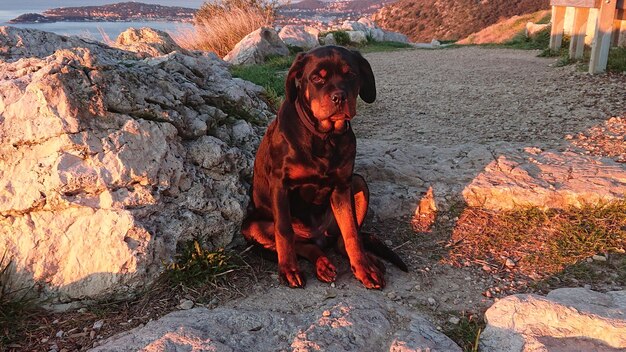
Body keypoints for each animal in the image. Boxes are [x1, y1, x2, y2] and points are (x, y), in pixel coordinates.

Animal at [241, 46, 408, 288]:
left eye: (351, 74)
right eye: (316, 78)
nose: (339, 97)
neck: (324, 137)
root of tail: (319, 236)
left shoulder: (342, 186)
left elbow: (351, 233)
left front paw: (364, 269)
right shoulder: (280, 184)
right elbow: (284, 231)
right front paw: (288, 270)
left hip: (357, 182)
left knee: (339, 241)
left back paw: (368, 262)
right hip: (250, 225)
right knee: (302, 244)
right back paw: (320, 263)